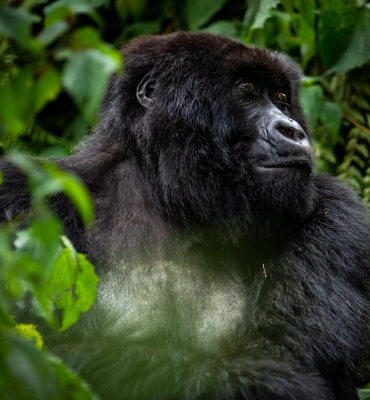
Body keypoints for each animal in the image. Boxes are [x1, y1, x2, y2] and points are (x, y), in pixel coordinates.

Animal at [0, 32, 370, 400]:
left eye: (281, 97)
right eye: (248, 89)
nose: (292, 130)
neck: (168, 196)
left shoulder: (335, 213)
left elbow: (289, 347)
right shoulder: (20, 194)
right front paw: (273, 385)